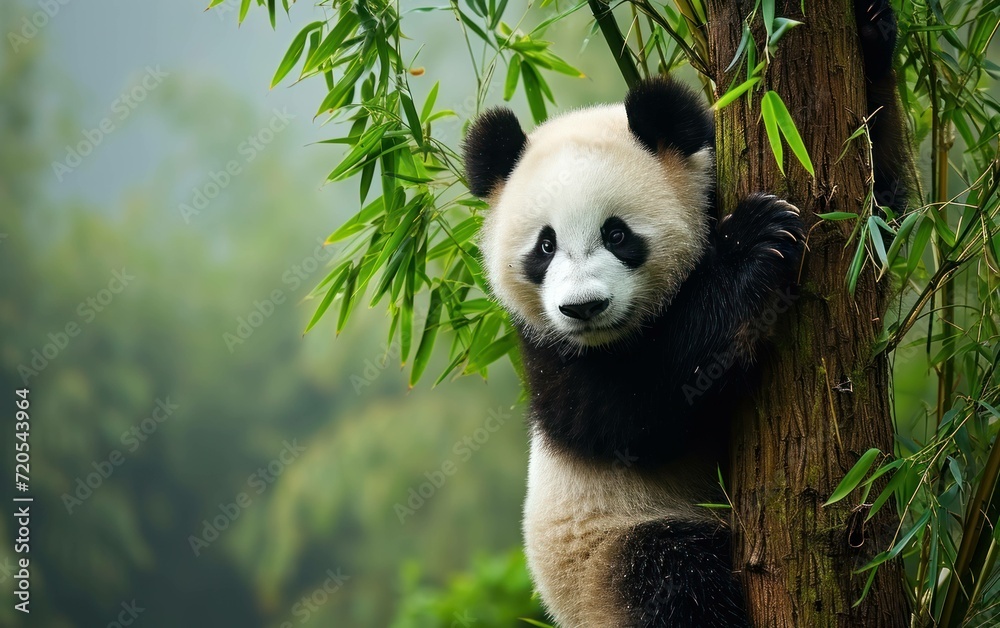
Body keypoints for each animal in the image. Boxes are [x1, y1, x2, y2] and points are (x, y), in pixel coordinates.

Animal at [461, 2, 905, 626]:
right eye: (544, 247)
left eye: (617, 234)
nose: (583, 308)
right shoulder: (548, 355)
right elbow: (640, 407)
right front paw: (755, 241)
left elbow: (879, 223)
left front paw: (871, 34)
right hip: (613, 549)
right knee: (677, 579)